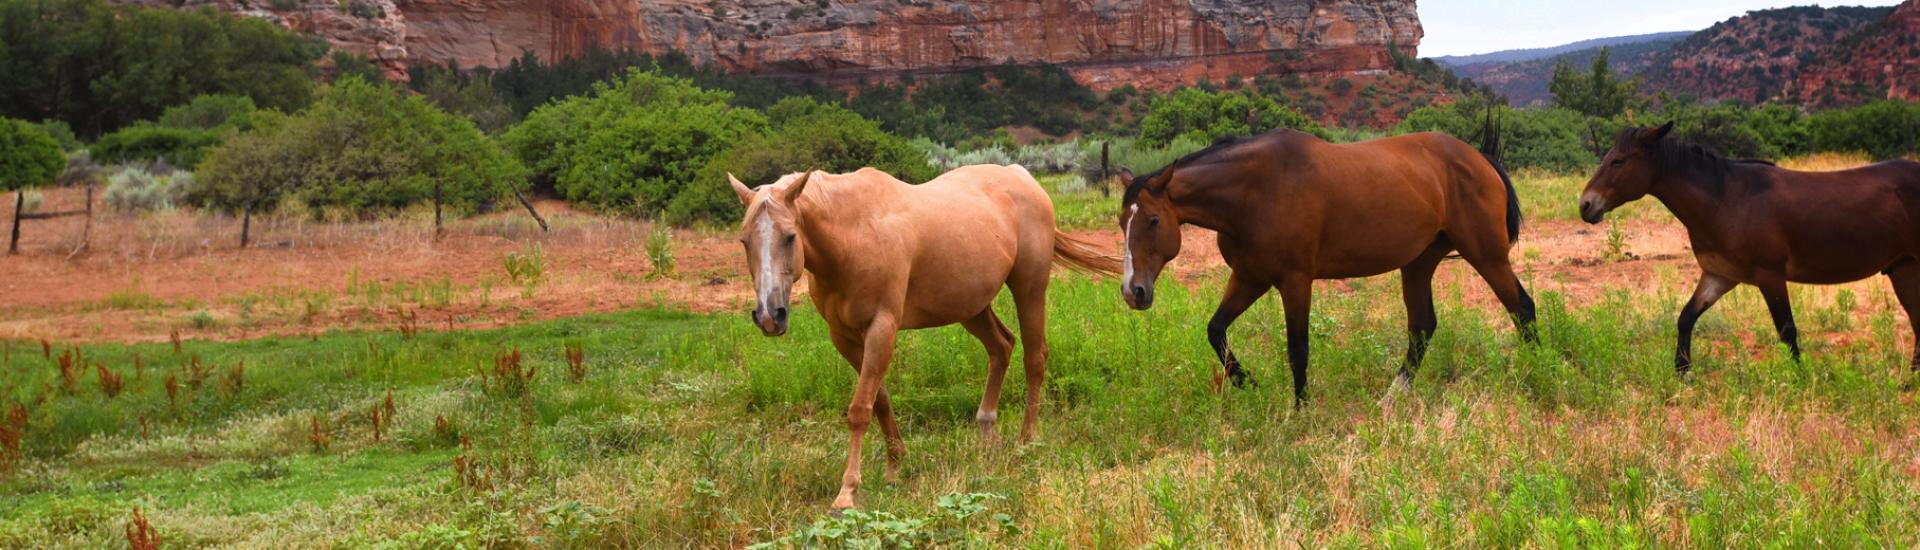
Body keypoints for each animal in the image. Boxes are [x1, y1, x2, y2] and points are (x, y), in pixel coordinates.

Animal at [728, 165, 1120, 510]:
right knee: (1002, 346)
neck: (853, 235)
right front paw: (895, 466)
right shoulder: (845, 337)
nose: (769, 315)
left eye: (790, 236)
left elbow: (859, 409)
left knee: (1034, 356)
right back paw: (987, 431)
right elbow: (879, 400)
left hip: (1030, 289)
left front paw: (847, 492)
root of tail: (1022, 176)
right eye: (745, 240)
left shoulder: (882, 327)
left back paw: (1027, 440)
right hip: (971, 307)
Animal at [1118, 127, 1536, 405]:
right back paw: (1392, 398)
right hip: (1419, 262)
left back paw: (1538, 372)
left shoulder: (1295, 281)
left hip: (1486, 255)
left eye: (1153, 220)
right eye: (1122, 222)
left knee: (1522, 308)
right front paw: (1247, 382)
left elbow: (1297, 348)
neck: (1255, 192)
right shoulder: (1250, 277)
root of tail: (1479, 159)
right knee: (1422, 327)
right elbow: (1215, 330)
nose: (1133, 291)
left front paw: (1301, 410)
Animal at [1578, 122, 1920, 376]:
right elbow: (1686, 317)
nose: (1586, 205)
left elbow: (1787, 330)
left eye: (1619, 161)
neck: (1726, 200)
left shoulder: (1771, 277)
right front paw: (1682, 373)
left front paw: (1798, 378)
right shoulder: (1719, 276)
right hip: (1903, 268)